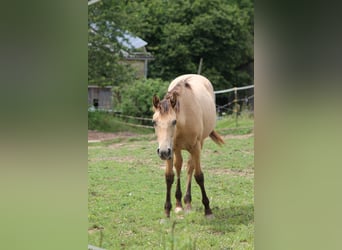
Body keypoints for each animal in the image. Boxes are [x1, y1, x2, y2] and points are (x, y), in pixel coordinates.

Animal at [153, 73, 224, 217]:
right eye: (154, 122)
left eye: (174, 121)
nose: (162, 152)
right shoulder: (171, 149)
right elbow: (169, 176)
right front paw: (167, 211)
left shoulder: (195, 147)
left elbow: (199, 176)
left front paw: (208, 210)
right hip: (176, 149)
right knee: (179, 166)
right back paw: (179, 204)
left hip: (198, 144)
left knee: (190, 167)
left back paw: (187, 202)